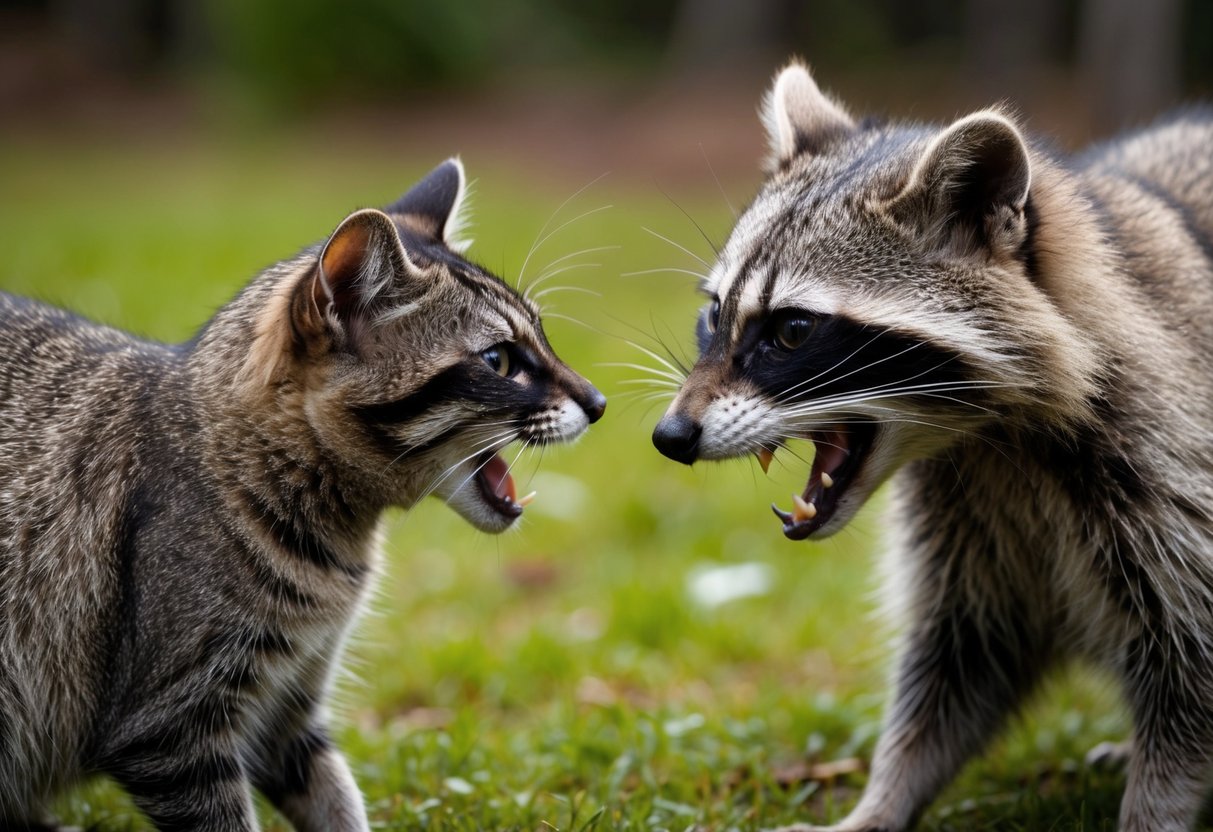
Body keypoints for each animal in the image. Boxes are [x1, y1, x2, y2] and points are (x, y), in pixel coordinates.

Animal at [0, 158, 605, 831]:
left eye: (544, 338)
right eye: (500, 361)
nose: (600, 401)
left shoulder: (288, 711)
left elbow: (336, 802)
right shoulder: (170, 730)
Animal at [653, 60, 1213, 831]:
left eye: (792, 331)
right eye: (716, 313)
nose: (668, 436)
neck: (988, 435)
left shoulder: (1169, 466)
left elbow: (1187, 680)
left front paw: (1150, 811)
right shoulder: (962, 526)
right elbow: (955, 667)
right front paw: (881, 801)